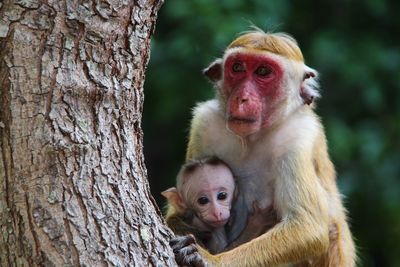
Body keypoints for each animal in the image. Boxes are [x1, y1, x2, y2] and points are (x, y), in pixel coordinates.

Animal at [170, 30, 356, 266]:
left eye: (263, 71)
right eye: (237, 68)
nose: (241, 98)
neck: (251, 139)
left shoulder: (297, 137)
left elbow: (308, 228)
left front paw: (211, 260)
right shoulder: (205, 123)